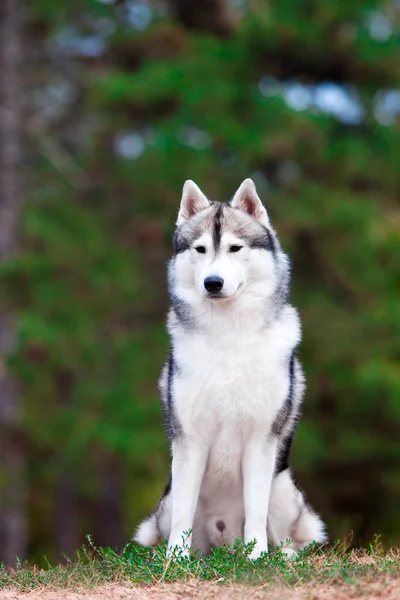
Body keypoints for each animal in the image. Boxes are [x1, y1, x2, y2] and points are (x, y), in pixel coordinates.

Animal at [133, 177, 326, 556]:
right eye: (200, 249)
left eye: (235, 248)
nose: (213, 283)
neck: (228, 334)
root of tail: (224, 542)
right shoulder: (189, 440)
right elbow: (184, 512)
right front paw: (175, 560)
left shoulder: (261, 439)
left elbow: (256, 507)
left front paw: (257, 556)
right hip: (167, 501)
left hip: (283, 487)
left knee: (287, 538)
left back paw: (279, 557)